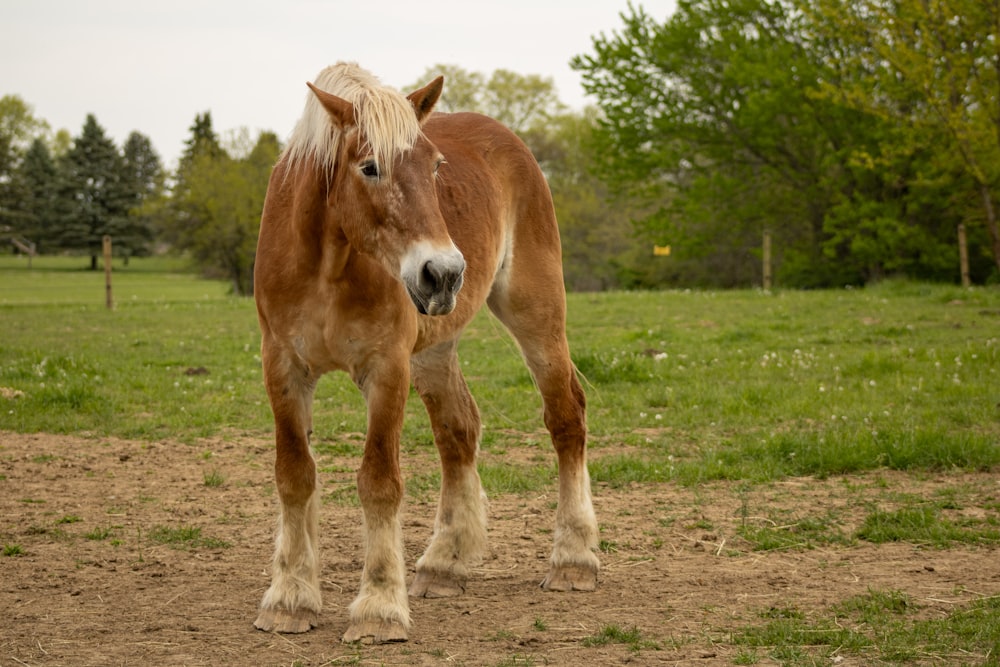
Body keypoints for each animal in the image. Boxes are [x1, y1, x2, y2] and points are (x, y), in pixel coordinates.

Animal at [254, 64, 596, 648]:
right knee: (458, 431)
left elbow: (379, 482)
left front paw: (378, 608)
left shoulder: (387, 370)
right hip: (435, 351)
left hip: (536, 316)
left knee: (565, 417)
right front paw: (290, 598)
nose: (445, 273)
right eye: (369, 166)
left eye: (435, 167)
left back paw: (573, 557)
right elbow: (294, 475)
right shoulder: (284, 369)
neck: (327, 264)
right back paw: (443, 564)